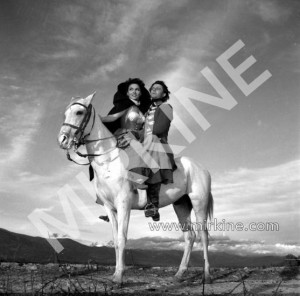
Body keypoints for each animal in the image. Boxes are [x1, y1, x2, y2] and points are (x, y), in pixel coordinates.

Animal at [58, 93, 213, 286]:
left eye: (79, 112)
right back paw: (180, 273)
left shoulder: (124, 205)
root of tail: (201, 168)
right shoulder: (110, 208)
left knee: (204, 235)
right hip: (181, 205)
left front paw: (119, 276)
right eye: (66, 113)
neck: (109, 161)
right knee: (189, 236)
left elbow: (122, 238)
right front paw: (115, 274)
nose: (62, 140)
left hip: (199, 204)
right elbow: (115, 240)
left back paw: (207, 275)